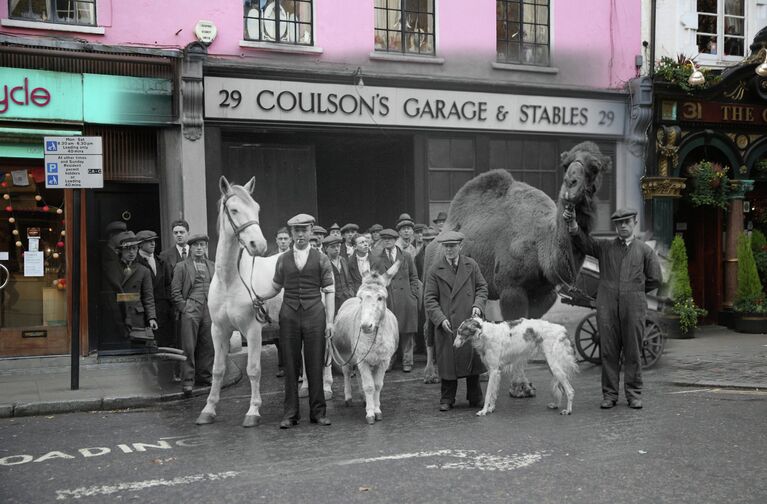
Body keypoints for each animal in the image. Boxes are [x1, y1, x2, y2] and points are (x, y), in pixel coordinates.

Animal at [195, 175, 276, 428]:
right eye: (234, 209)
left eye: (256, 208)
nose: (259, 245)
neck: (230, 281)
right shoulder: (219, 330)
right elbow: (217, 369)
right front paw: (208, 409)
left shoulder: (253, 329)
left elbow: (253, 369)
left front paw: (253, 411)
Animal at [332, 262, 400, 424]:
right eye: (361, 298)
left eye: (380, 298)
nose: (365, 326)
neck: (374, 337)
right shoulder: (362, 360)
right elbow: (369, 386)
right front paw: (370, 414)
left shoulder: (383, 361)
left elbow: (377, 385)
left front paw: (376, 409)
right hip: (346, 357)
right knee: (347, 373)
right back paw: (349, 398)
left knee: (358, 375)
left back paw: (363, 399)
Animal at [424, 142, 608, 398]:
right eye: (565, 164)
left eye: (595, 167)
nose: (571, 184)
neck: (541, 242)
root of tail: (432, 241)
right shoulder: (513, 289)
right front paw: (520, 386)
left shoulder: (544, 293)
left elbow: (527, 330)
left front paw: (522, 384)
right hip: (428, 281)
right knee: (429, 326)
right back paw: (430, 374)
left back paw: (481, 374)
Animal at [452, 316, 580, 416]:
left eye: (460, 332)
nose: (453, 346)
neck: (484, 333)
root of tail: (563, 330)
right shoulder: (496, 372)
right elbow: (493, 394)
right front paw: (491, 409)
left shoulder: (493, 371)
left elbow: (488, 394)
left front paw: (483, 411)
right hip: (553, 366)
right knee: (561, 389)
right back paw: (556, 405)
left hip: (554, 366)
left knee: (570, 390)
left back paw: (568, 410)